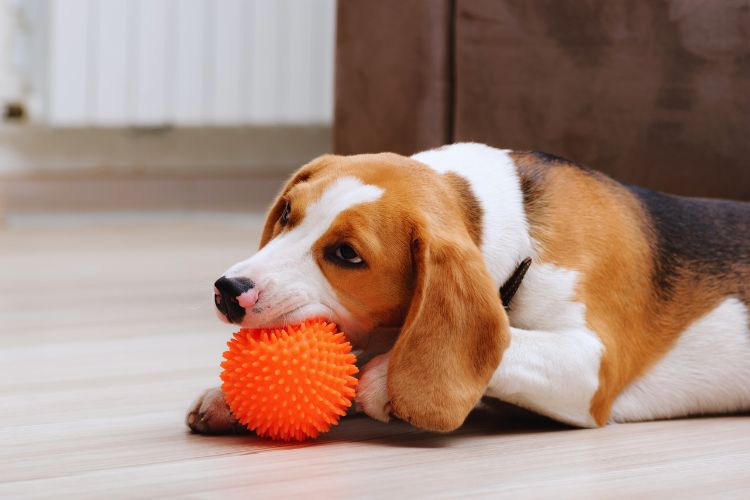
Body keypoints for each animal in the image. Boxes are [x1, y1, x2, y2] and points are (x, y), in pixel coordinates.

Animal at [187, 142, 750, 434]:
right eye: (287, 213)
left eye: (347, 255)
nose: (229, 289)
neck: (520, 230)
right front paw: (225, 401)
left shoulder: (593, 368)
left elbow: (510, 341)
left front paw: (384, 380)